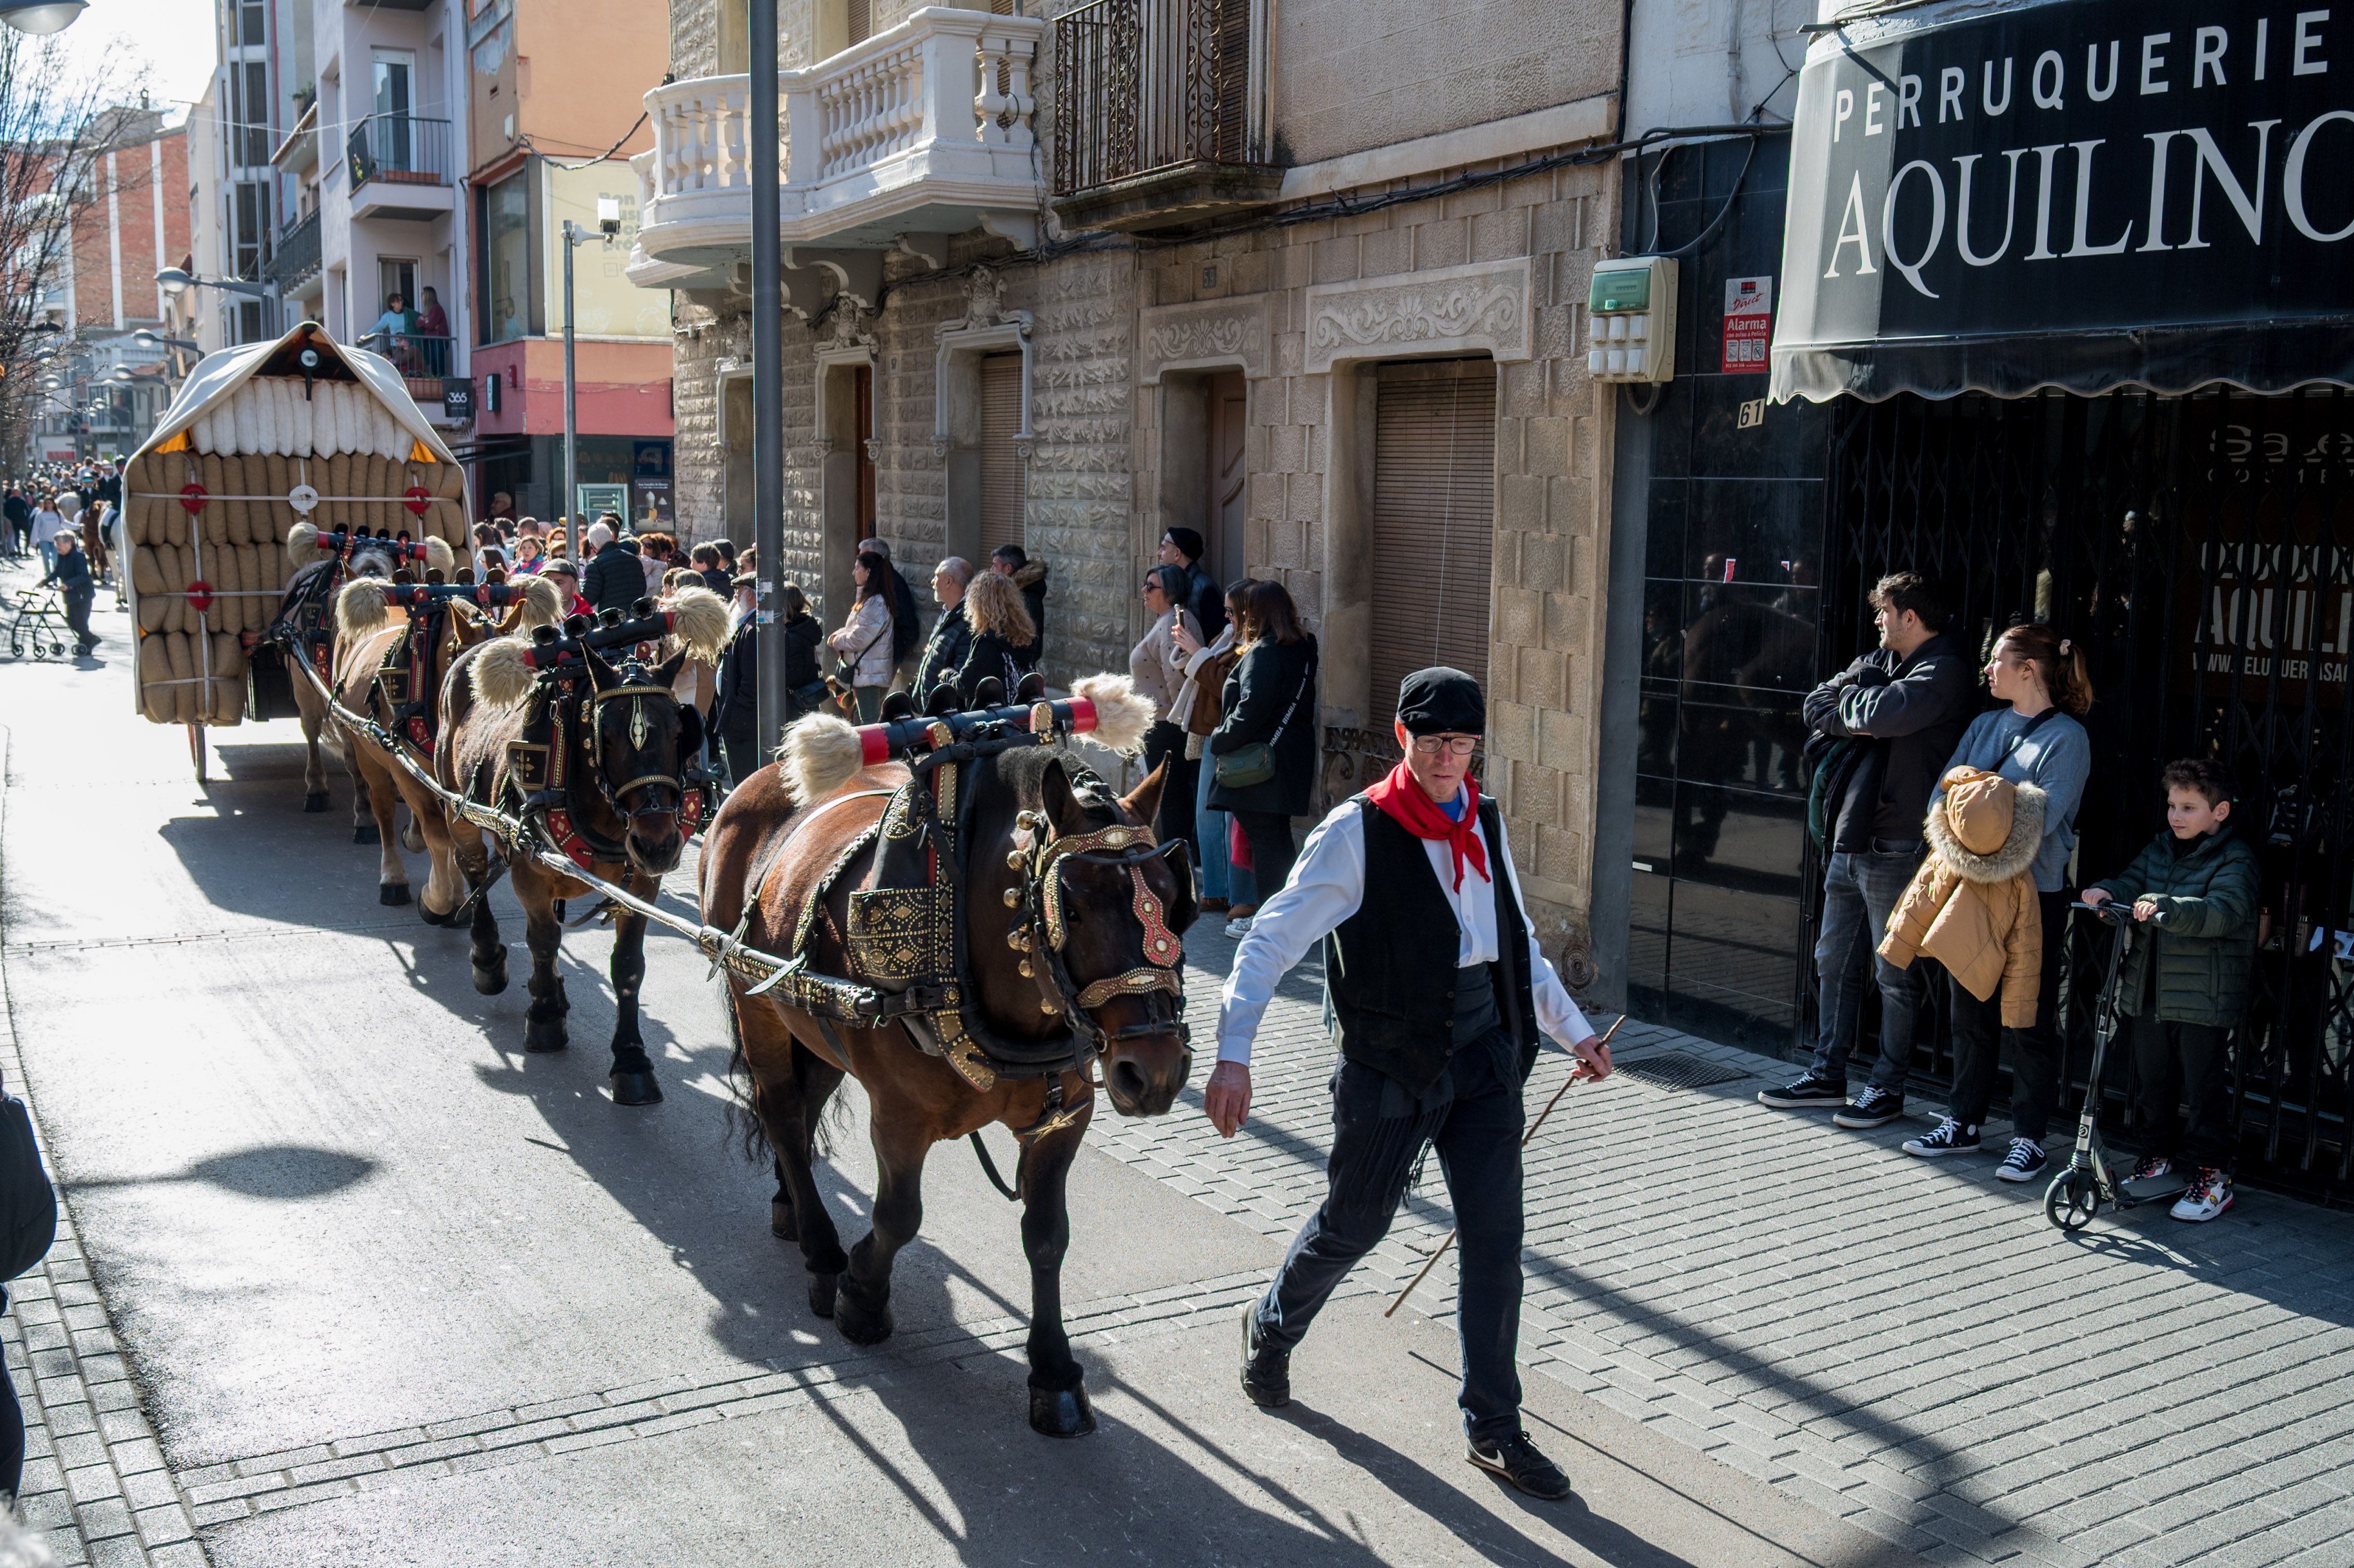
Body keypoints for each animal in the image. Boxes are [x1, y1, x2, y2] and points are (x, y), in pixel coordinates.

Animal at [430, 586, 725, 1097]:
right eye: (604, 734)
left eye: (679, 730)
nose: (658, 845)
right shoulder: (529, 870)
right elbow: (543, 939)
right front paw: (546, 1017)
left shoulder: (641, 885)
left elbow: (628, 967)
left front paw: (631, 1060)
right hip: (458, 811)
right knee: (473, 869)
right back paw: (489, 960)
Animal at [687, 678, 1186, 1431]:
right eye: (1072, 901)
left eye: (1172, 894)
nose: (1153, 1074)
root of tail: (756, 780)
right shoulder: (899, 1116)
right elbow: (899, 1217)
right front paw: (861, 1295)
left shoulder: (1065, 1116)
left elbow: (1047, 1235)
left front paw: (1054, 1372)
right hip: (759, 1002)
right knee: (780, 1111)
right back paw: (821, 1249)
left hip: (816, 1027)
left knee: (802, 1109)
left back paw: (788, 1203)